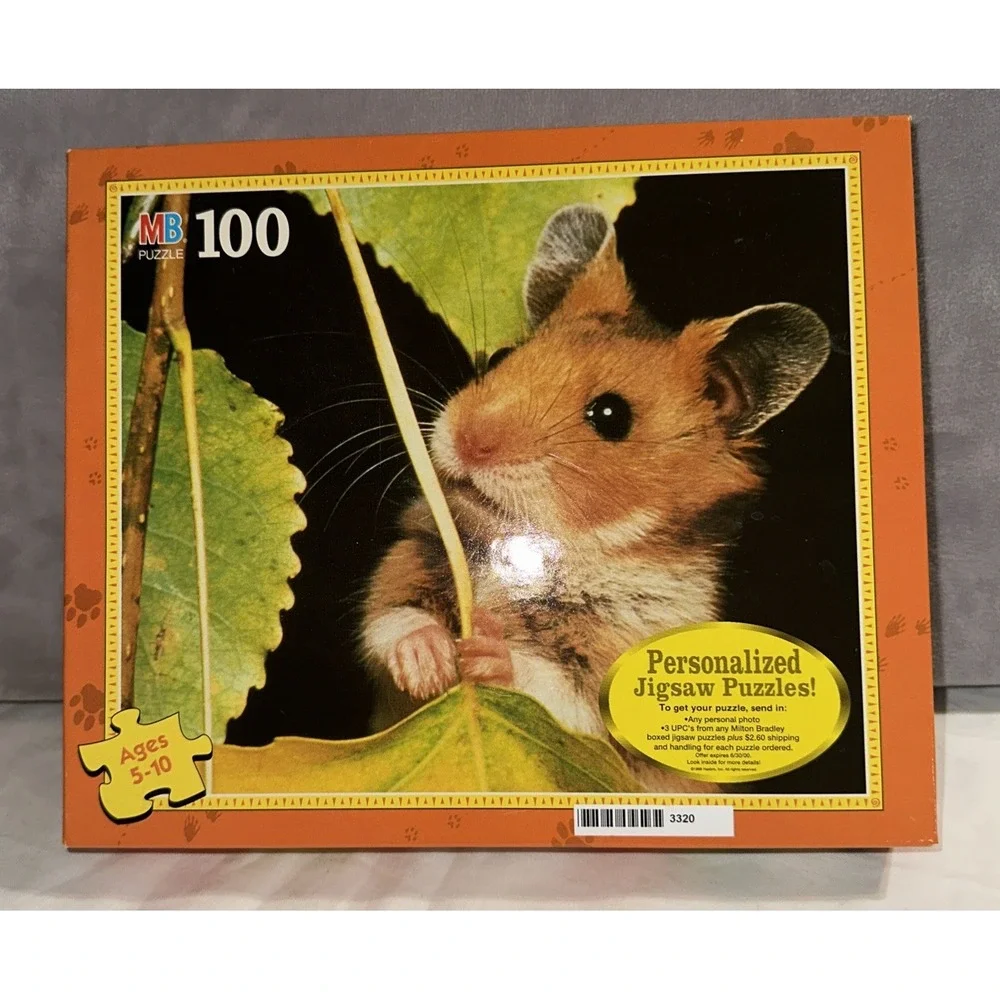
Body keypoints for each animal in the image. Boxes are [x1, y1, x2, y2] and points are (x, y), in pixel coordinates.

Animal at [359, 203, 831, 792]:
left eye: (611, 415)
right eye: (503, 357)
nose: (468, 441)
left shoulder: (620, 671)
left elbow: (564, 695)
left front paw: (487, 652)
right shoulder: (411, 557)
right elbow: (390, 616)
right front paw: (428, 663)